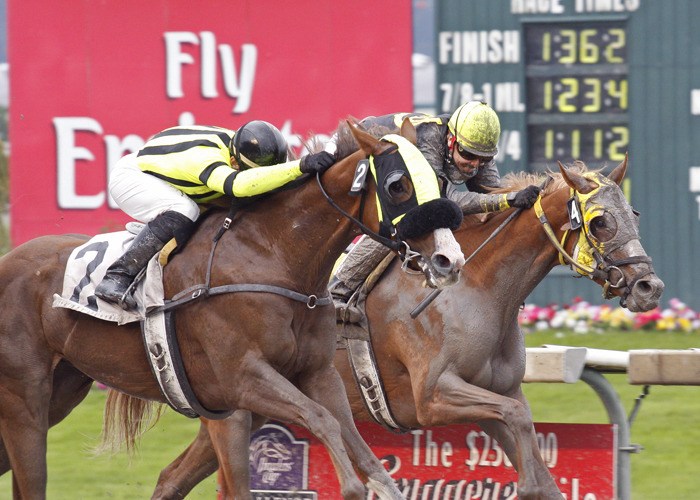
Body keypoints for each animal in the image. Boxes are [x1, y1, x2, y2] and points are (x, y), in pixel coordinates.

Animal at [0, 121, 470, 500]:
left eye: (438, 181)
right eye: (397, 186)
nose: (449, 260)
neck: (274, 256)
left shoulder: (316, 374)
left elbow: (357, 443)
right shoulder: (242, 378)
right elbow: (320, 420)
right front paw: (351, 487)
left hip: (64, 389)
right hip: (25, 401)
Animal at [152, 156, 660, 500]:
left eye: (634, 213)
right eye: (600, 220)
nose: (649, 287)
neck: (478, 287)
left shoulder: (496, 395)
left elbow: (525, 433)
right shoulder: (433, 396)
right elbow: (520, 428)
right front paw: (529, 486)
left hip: (247, 405)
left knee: (170, 477)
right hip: (238, 404)